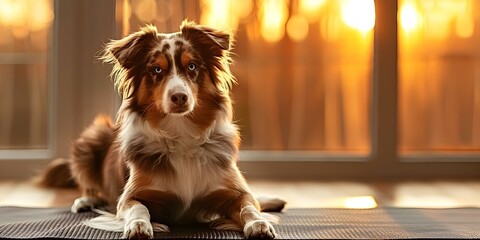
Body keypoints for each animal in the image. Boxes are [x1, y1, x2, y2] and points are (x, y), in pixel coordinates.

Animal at [39, 21, 284, 239]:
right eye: (156, 69)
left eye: (192, 66)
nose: (179, 97)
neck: (181, 134)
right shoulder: (129, 197)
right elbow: (139, 208)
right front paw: (138, 226)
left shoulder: (235, 193)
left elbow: (249, 207)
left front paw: (259, 224)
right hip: (89, 140)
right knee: (91, 188)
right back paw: (84, 201)